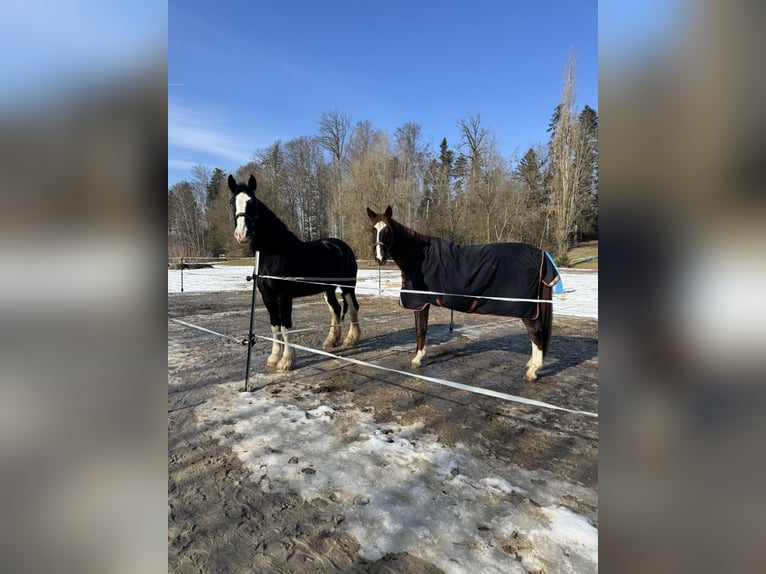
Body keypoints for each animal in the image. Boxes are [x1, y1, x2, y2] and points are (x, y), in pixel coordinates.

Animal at [230, 174, 360, 371]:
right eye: (232, 203)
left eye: (252, 203)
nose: (241, 234)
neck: (273, 253)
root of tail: (343, 246)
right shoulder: (267, 297)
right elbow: (275, 327)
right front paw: (274, 358)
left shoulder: (284, 296)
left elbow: (285, 327)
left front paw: (286, 361)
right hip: (328, 289)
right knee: (336, 310)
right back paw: (331, 341)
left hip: (347, 287)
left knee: (352, 309)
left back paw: (351, 340)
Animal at [367, 206, 560, 381]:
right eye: (373, 230)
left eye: (388, 230)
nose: (379, 258)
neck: (418, 258)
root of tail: (541, 253)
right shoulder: (421, 303)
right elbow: (418, 329)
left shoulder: (420, 303)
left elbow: (421, 329)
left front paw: (417, 359)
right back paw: (531, 364)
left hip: (525, 308)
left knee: (535, 331)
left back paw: (533, 371)